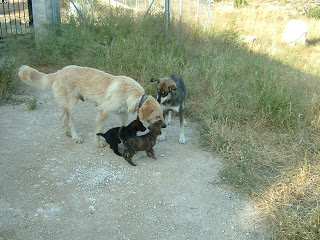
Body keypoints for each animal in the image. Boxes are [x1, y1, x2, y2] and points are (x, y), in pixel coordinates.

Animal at [18, 65, 166, 146]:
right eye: (158, 116)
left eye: (162, 115)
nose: (165, 126)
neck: (132, 94)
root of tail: (59, 72)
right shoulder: (103, 111)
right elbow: (98, 129)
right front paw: (97, 143)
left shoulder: (122, 113)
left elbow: (124, 126)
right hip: (72, 105)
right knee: (70, 121)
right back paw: (76, 137)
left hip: (66, 105)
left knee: (62, 118)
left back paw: (67, 133)